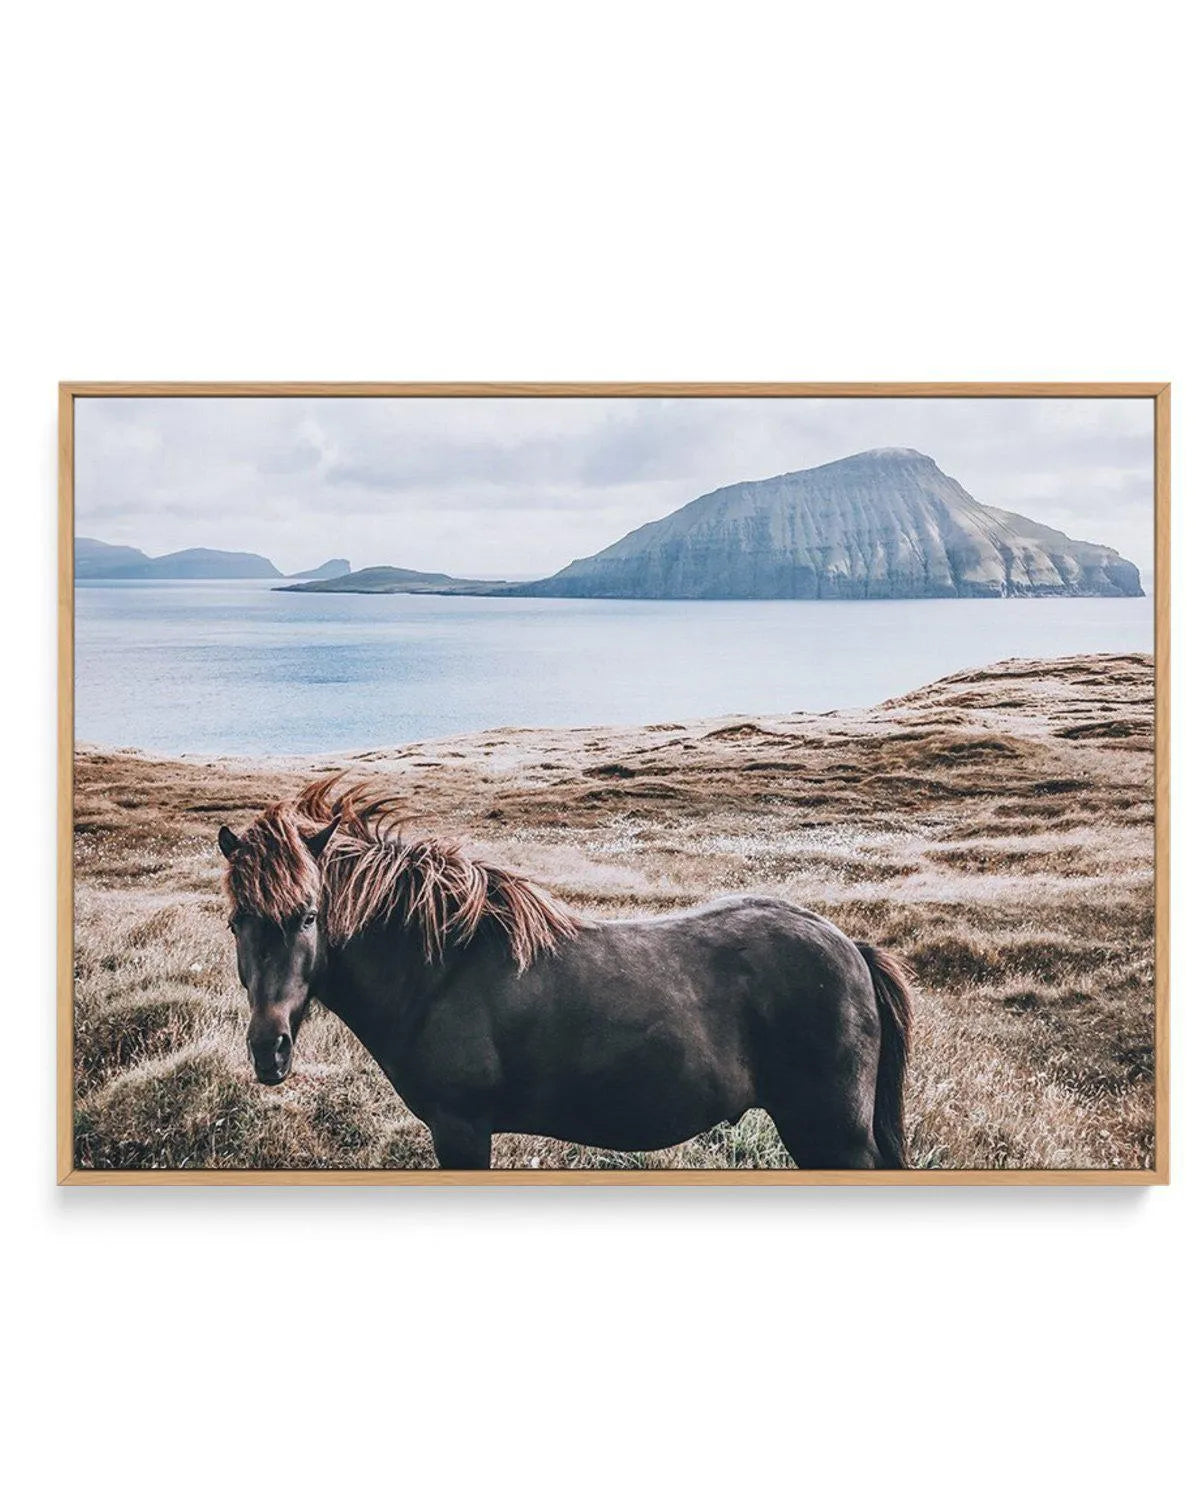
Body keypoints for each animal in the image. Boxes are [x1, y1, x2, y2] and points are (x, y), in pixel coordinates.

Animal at [218, 776, 914, 1170]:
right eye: (235, 923)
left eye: (309, 916)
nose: (269, 1051)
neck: (439, 971)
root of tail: (850, 947)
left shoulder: (461, 1129)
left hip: (831, 1135)